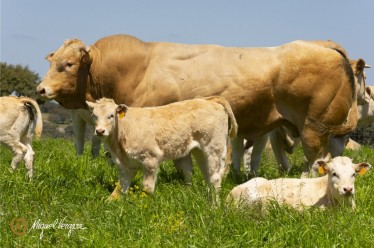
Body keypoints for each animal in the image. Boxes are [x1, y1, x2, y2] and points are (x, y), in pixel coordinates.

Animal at [36, 34, 358, 176]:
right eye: (52, 62)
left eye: (67, 64)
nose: (41, 89)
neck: (137, 69)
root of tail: (320, 45)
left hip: (314, 127)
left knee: (314, 159)